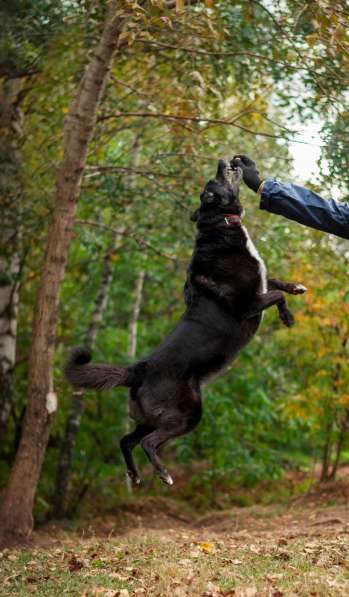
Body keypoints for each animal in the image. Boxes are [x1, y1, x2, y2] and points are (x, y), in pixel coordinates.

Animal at [64, 158, 304, 484]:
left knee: (126, 440)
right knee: (147, 442)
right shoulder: (247, 305)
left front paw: (296, 288)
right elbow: (276, 294)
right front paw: (288, 317)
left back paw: (135, 475)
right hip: (188, 413)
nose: (224, 160)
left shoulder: (260, 286)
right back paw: (164, 473)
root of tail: (137, 371)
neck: (219, 224)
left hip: (149, 418)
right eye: (213, 182)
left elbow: (276, 281)